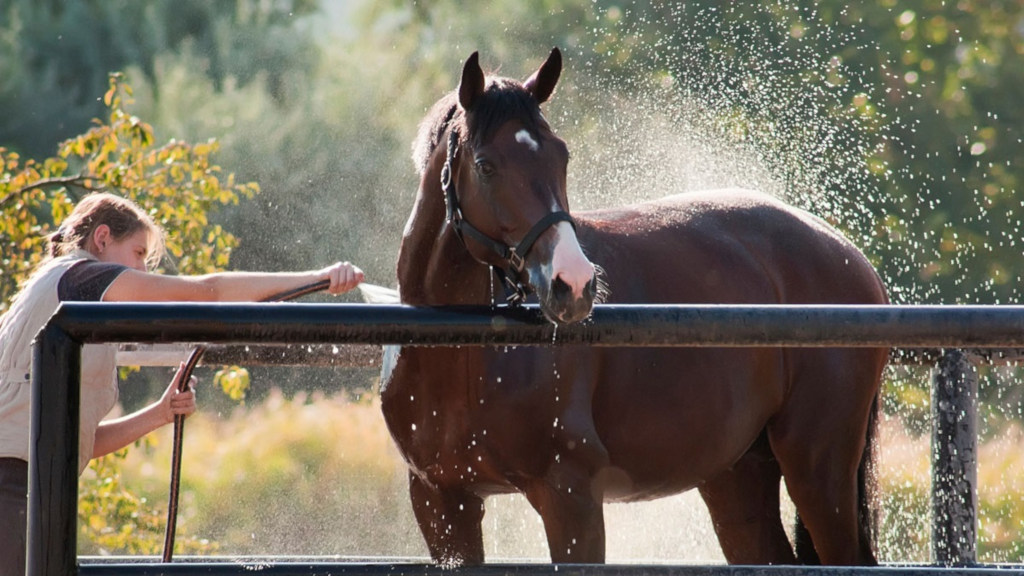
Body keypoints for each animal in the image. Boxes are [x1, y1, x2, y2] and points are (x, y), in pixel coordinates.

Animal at [385, 48, 888, 565]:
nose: (574, 284)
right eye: (486, 165)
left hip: (818, 471)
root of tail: (846, 253)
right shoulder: (443, 503)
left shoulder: (571, 497)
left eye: (562, 156)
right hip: (738, 475)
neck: (460, 351)